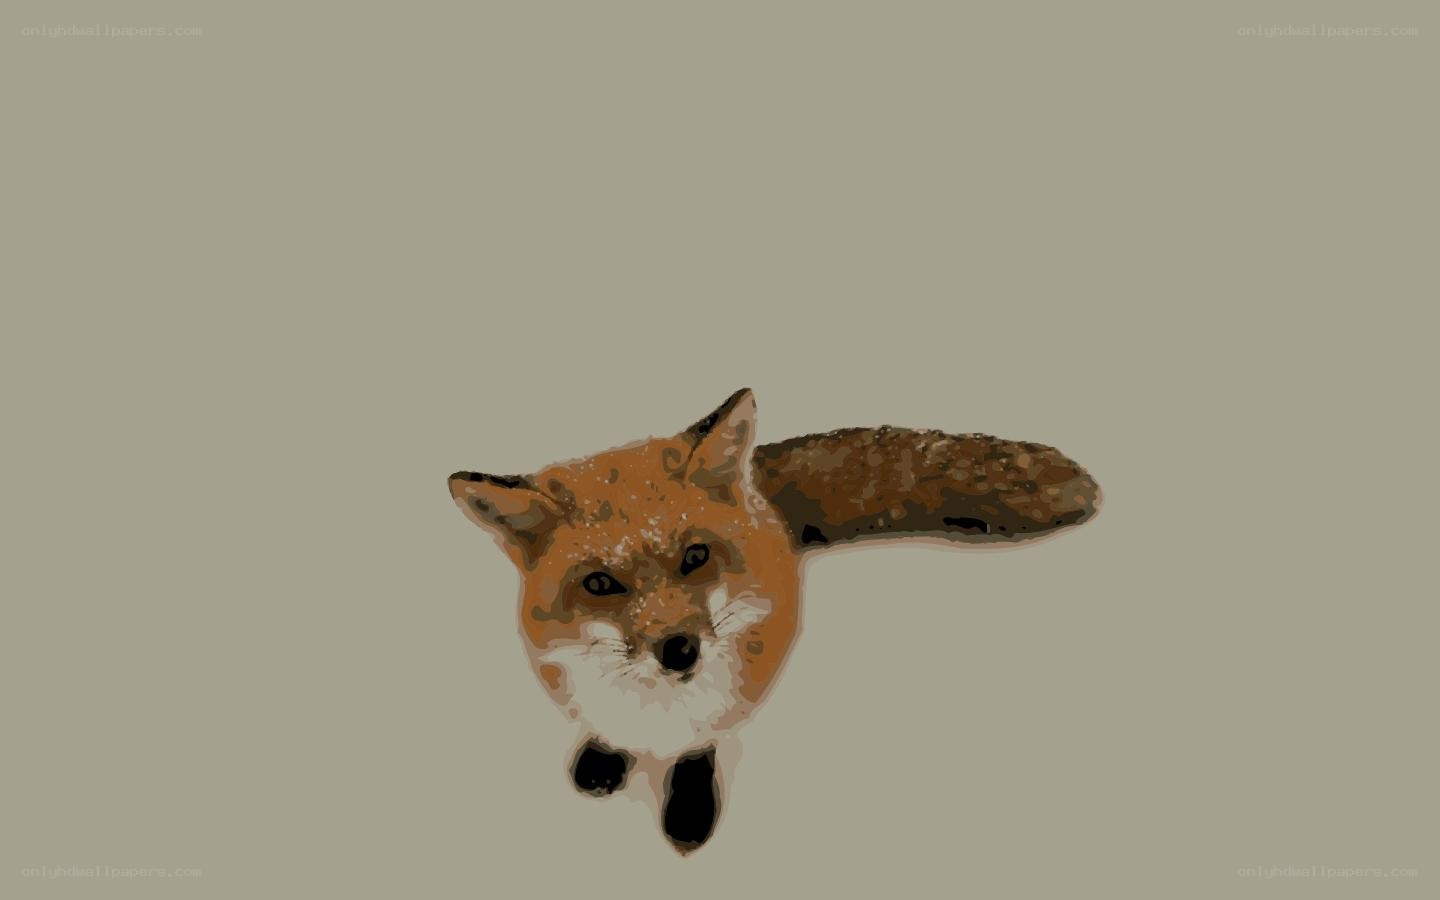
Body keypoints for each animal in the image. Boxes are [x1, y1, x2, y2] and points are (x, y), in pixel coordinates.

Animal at [447, 388, 1101, 853]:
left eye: (695, 557)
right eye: (601, 585)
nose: (678, 649)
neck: (656, 710)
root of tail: (757, 487)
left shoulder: (740, 684)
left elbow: (699, 745)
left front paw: (688, 809)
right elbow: (604, 726)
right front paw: (602, 759)